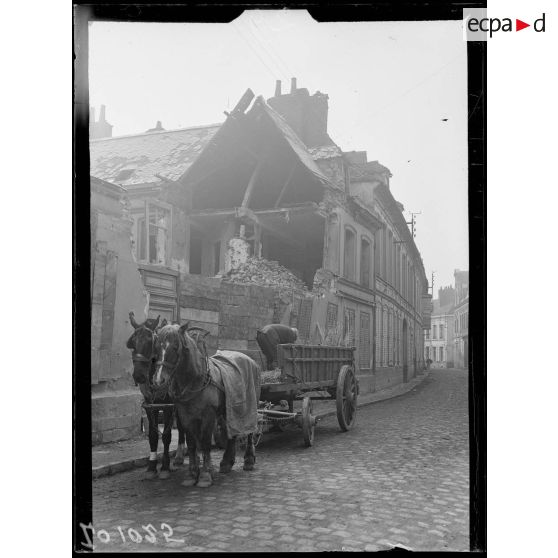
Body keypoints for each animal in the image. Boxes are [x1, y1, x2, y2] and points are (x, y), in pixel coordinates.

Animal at [126, 312, 187, 480]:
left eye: (150, 343)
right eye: (133, 342)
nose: (139, 376)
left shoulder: (168, 406)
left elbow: (166, 436)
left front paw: (165, 466)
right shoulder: (150, 405)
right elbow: (153, 435)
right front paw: (152, 466)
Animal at [155, 324, 262, 490]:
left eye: (175, 347)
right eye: (156, 347)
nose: (159, 380)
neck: (196, 380)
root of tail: (250, 359)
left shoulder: (208, 415)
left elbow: (205, 443)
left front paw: (205, 476)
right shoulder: (186, 416)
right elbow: (192, 444)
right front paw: (192, 474)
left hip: (251, 404)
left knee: (250, 430)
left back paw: (249, 459)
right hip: (228, 408)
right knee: (231, 431)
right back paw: (226, 462)